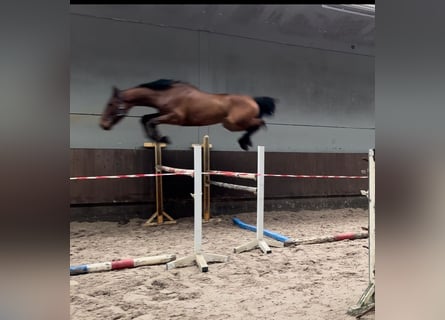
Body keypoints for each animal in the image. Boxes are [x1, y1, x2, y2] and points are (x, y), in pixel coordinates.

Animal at [99, 79, 276, 151]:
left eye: (110, 104)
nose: (103, 125)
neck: (166, 93)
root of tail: (253, 100)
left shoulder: (175, 118)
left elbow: (152, 121)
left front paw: (162, 138)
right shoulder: (163, 113)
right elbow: (146, 119)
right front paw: (159, 138)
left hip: (232, 123)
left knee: (260, 123)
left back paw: (244, 143)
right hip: (231, 124)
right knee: (258, 123)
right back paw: (244, 142)